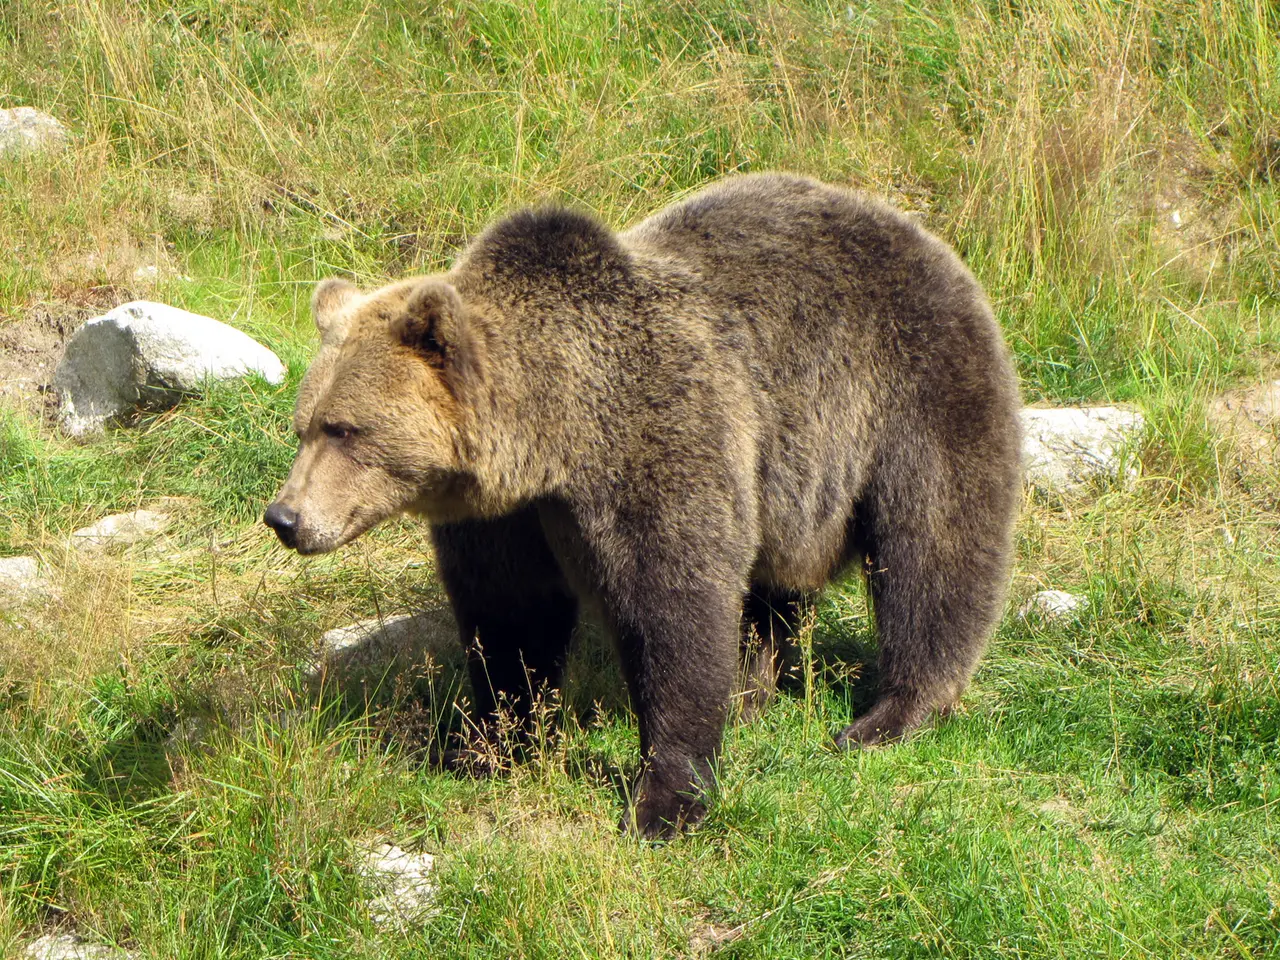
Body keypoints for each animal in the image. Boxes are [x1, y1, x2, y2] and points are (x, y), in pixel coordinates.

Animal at [264, 172, 1023, 838]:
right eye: (304, 425)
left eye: (344, 429)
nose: (285, 518)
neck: (553, 436)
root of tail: (920, 232)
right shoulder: (507, 520)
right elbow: (510, 617)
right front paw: (487, 745)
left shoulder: (655, 439)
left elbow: (672, 607)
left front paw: (665, 800)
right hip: (788, 476)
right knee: (772, 588)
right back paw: (752, 693)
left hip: (911, 388)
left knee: (934, 546)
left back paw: (890, 714)